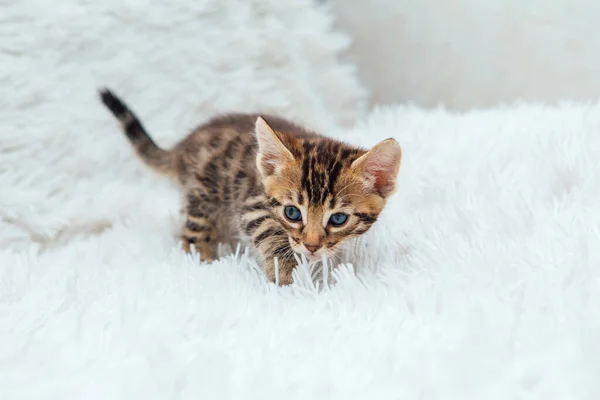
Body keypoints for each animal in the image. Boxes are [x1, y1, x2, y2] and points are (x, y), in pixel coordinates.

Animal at [99, 89, 404, 286]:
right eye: (293, 213)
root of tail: (183, 147)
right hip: (204, 196)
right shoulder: (253, 205)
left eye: (339, 218)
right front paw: (288, 277)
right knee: (192, 237)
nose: (311, 246)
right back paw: (206, 264)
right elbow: (273, 237)